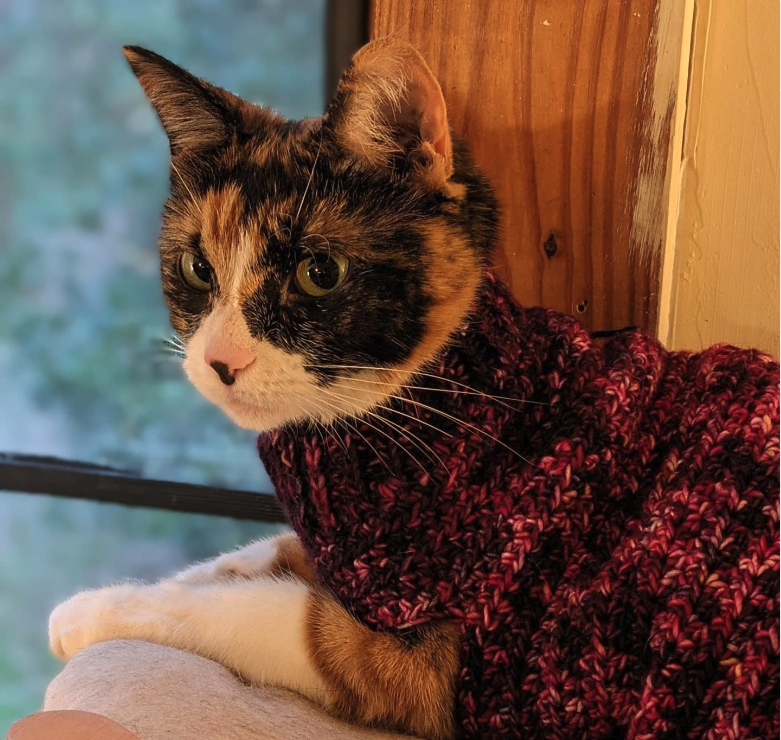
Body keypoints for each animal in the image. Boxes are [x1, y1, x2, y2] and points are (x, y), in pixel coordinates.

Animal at [48, 39, 780, 740]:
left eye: (319, 272)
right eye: (198, 267)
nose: (221, 361)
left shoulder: (424, 661)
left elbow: (264, 612)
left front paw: (92, 608)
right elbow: (254, 555)